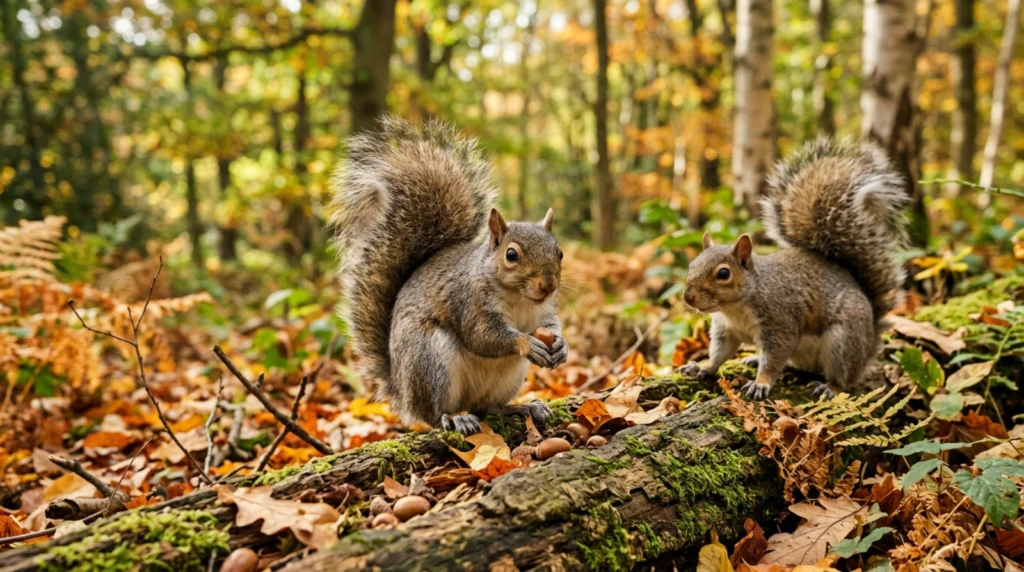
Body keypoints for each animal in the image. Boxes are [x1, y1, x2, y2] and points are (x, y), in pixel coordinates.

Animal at [330, 116, 568, 435]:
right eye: (511, 255)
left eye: (560, 253)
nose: (548, 286)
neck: (519, 299)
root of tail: (403, 396)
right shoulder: (468, 303)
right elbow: (483, 336)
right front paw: (525, 342)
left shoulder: (544, 312)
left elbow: (551, 326)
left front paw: (562, 346)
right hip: (430, 360)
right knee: (434, 415)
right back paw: (454, 418)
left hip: (507, 378)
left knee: (489, 408)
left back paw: (521, 407)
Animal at [680, 139, 909, 399]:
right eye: (691, 265)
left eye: (723, 274)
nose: (688, 297)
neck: (734, 308)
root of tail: (870, 342)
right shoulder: (725, 330)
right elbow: (719, 353)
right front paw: (703, 367)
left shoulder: (780, 322)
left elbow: (774, 359)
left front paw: (760, 383)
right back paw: (753, 358)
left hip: (843, 342)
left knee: (843, 378)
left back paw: (829, 387)